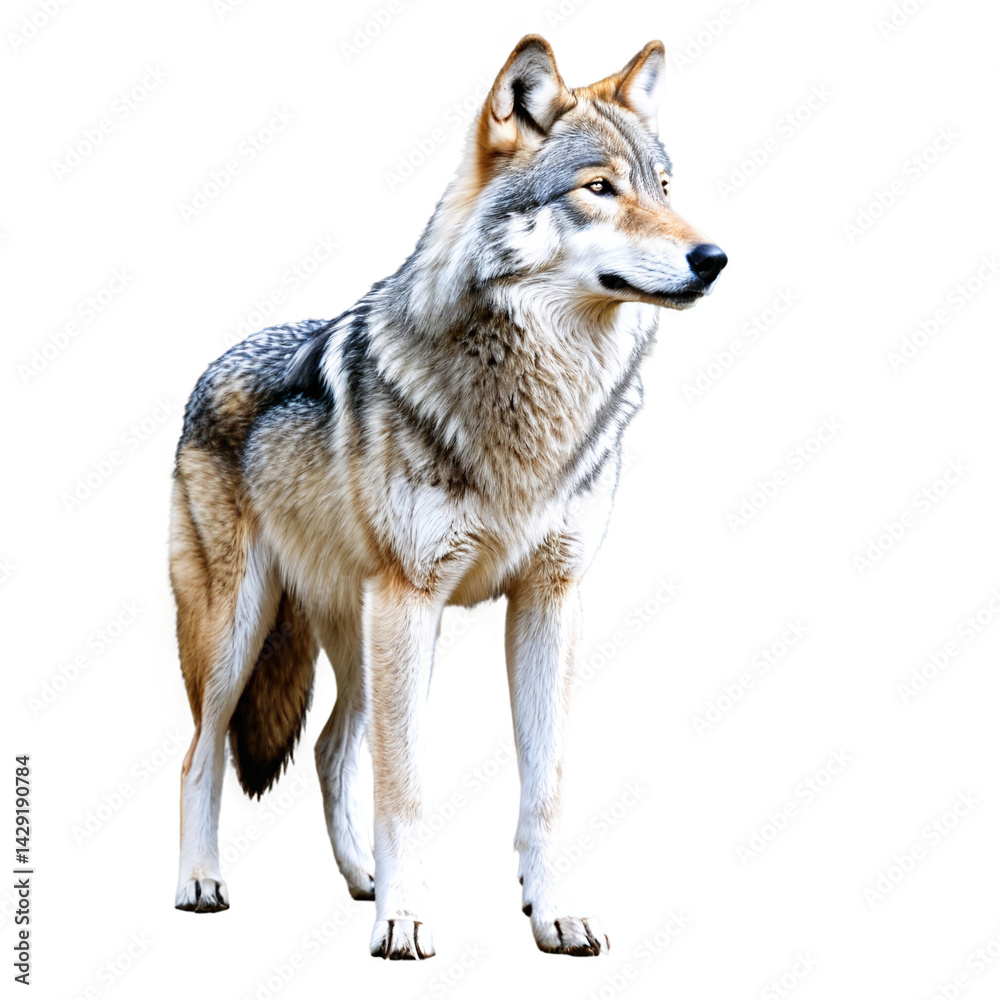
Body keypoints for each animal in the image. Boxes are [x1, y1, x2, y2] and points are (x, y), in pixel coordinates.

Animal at [170, 35, 726, 959]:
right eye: (598, 188)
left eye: (665, 186)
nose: (713, 259)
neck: (538, 399)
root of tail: (214, 362)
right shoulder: (413, 598)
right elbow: (406, 787)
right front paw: (405, 919)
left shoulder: (549, 598)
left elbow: (545, 784)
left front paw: (552, 912)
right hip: (243, 633)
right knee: (198, 753)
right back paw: (200, 882)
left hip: (360, 642)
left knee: (328, 750)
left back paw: (358, 880)